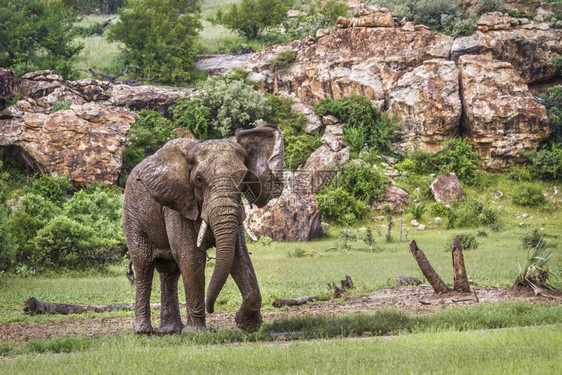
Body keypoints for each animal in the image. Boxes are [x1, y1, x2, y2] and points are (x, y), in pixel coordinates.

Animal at [121, 125, 282, 334]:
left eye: (244, 179)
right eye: (198, 179)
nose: (211, 308)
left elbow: (239, 256)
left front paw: (247, 325)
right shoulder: (176, 203)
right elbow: (190, 256)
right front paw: (196, 333)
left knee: (169, 271)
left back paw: (171, 331)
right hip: (132, 215)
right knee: (143, 266)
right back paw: (144, 331)